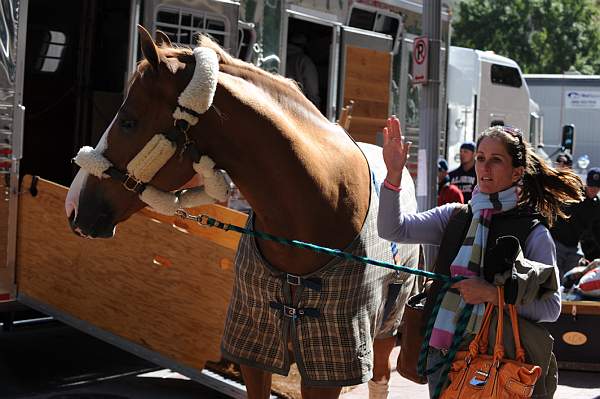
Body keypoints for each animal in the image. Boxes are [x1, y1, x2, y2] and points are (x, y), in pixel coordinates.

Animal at [67, 26, 418, 398]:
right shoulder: (255, 348)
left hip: (388, 326)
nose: (73, 205)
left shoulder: (329, 363)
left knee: (380, 379)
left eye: (129, 123)